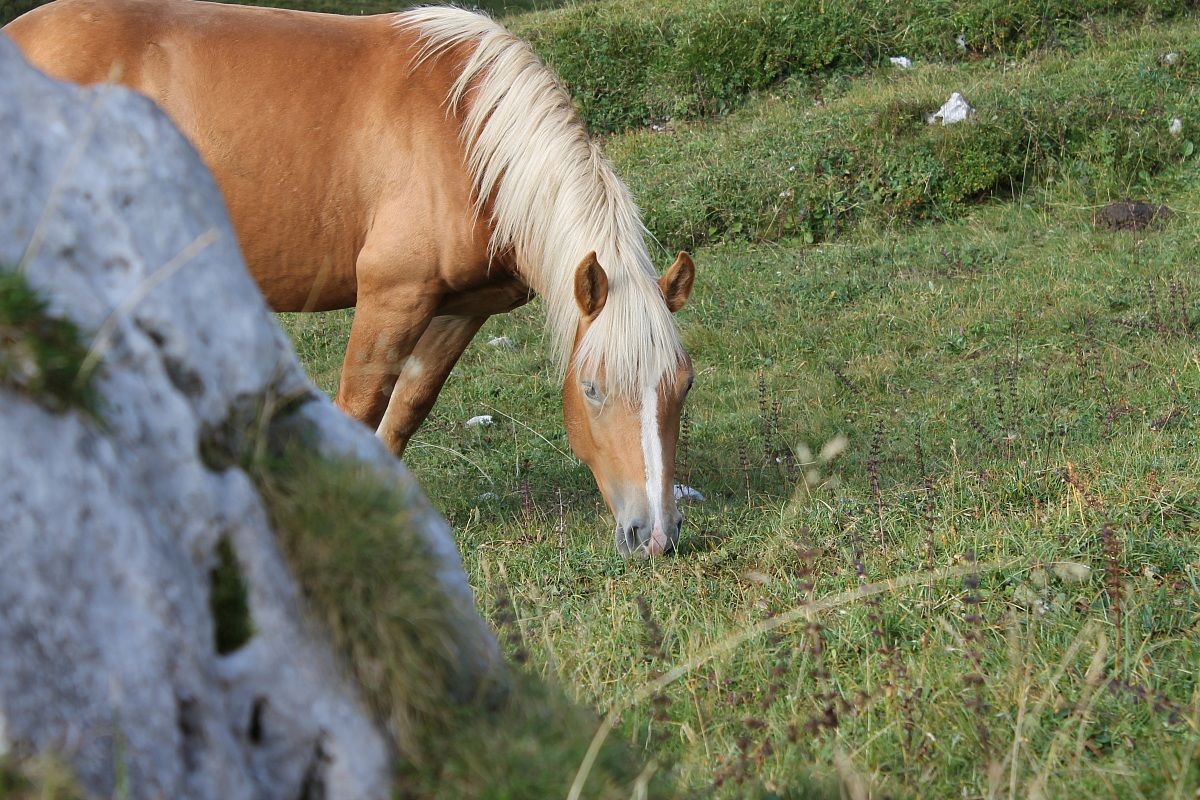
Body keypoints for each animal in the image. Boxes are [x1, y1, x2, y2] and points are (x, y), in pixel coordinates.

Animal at [5, 0, 696, 556]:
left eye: (682, 387)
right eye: (593, 389)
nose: (654, 536)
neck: (468, 134)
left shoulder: (461, 309)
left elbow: (407, 409)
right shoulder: (393, 297)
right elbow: (361, 408)